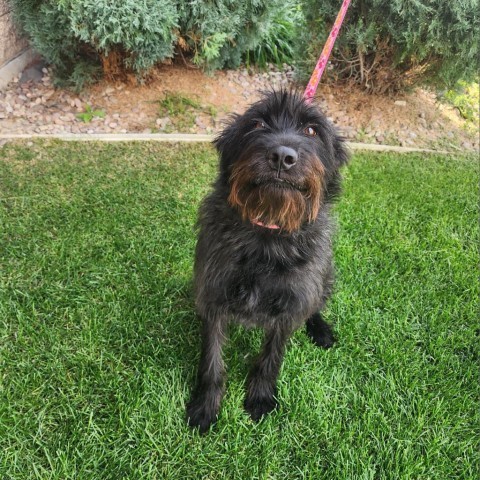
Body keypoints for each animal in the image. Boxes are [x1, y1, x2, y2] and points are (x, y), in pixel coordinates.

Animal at [186, 89, 346, 432]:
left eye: (311, 130)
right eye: (257, 123)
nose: (282, 156)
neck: (267, 235)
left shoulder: (290, 307)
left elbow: (272, 357)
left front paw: (259, 397)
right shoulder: (213, 295)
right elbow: (212, 361)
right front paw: (206, 406)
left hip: (324, 276)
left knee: (316, 304)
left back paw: (320, 329)